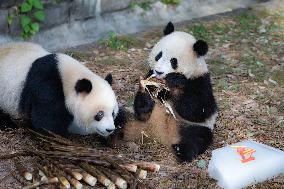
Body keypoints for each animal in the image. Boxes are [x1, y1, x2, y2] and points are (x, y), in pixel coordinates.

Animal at [123, 21, 219, 161]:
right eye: (159, 55)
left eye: (173, 61)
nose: (159, 72)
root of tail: (159, 136)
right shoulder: (150, 75)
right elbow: (142, 109)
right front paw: (147, 88)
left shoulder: (200, 81)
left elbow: (198, 109)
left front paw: (175, 81)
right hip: (136, 121)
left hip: (190, 127)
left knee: (196, 138)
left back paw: (181, 150)